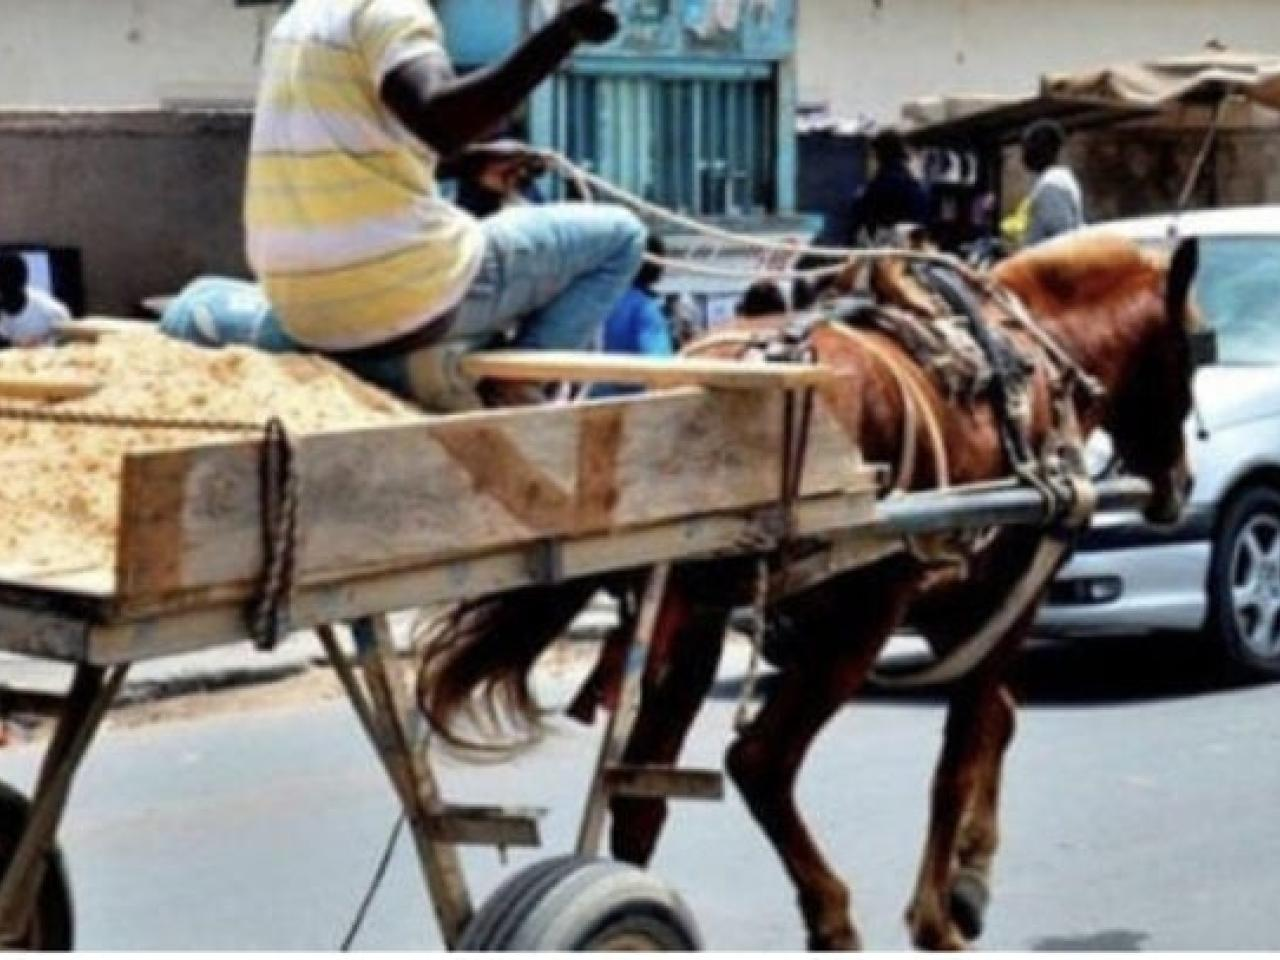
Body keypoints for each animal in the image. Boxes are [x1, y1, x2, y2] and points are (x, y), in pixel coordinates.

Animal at [417, 229, 1198, 952]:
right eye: (1195, 347)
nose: (1182, 485)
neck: (1028, 355)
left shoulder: (952, 602)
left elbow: (996, 721)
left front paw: (970, 882)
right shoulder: (1011, 586)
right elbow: (962, 747)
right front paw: (938, 914)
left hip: (695, 610)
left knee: (642, 792)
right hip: (858, 618)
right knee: (759, 761)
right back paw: (830, 916)